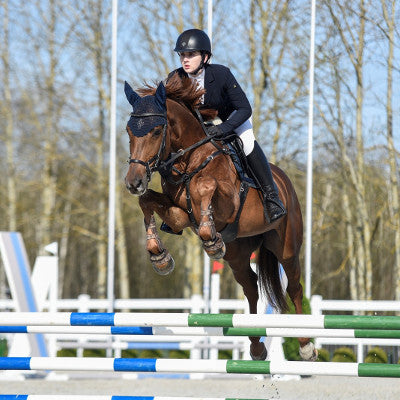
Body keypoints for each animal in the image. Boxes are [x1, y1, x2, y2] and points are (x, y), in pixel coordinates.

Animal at [123, 72, 318, 362]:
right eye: (128, 131)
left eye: (157, 131)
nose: (133, 182)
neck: (188, 161)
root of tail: (285, 183)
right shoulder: (180, 216)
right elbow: (147, 202)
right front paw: (159, 256)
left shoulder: (228, 201)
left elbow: (206, 187)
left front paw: (209, 240)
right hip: (237, 253)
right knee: (250, 287)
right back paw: (256, 345)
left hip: (287, 246)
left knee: (294, 287)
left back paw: (305, 345)